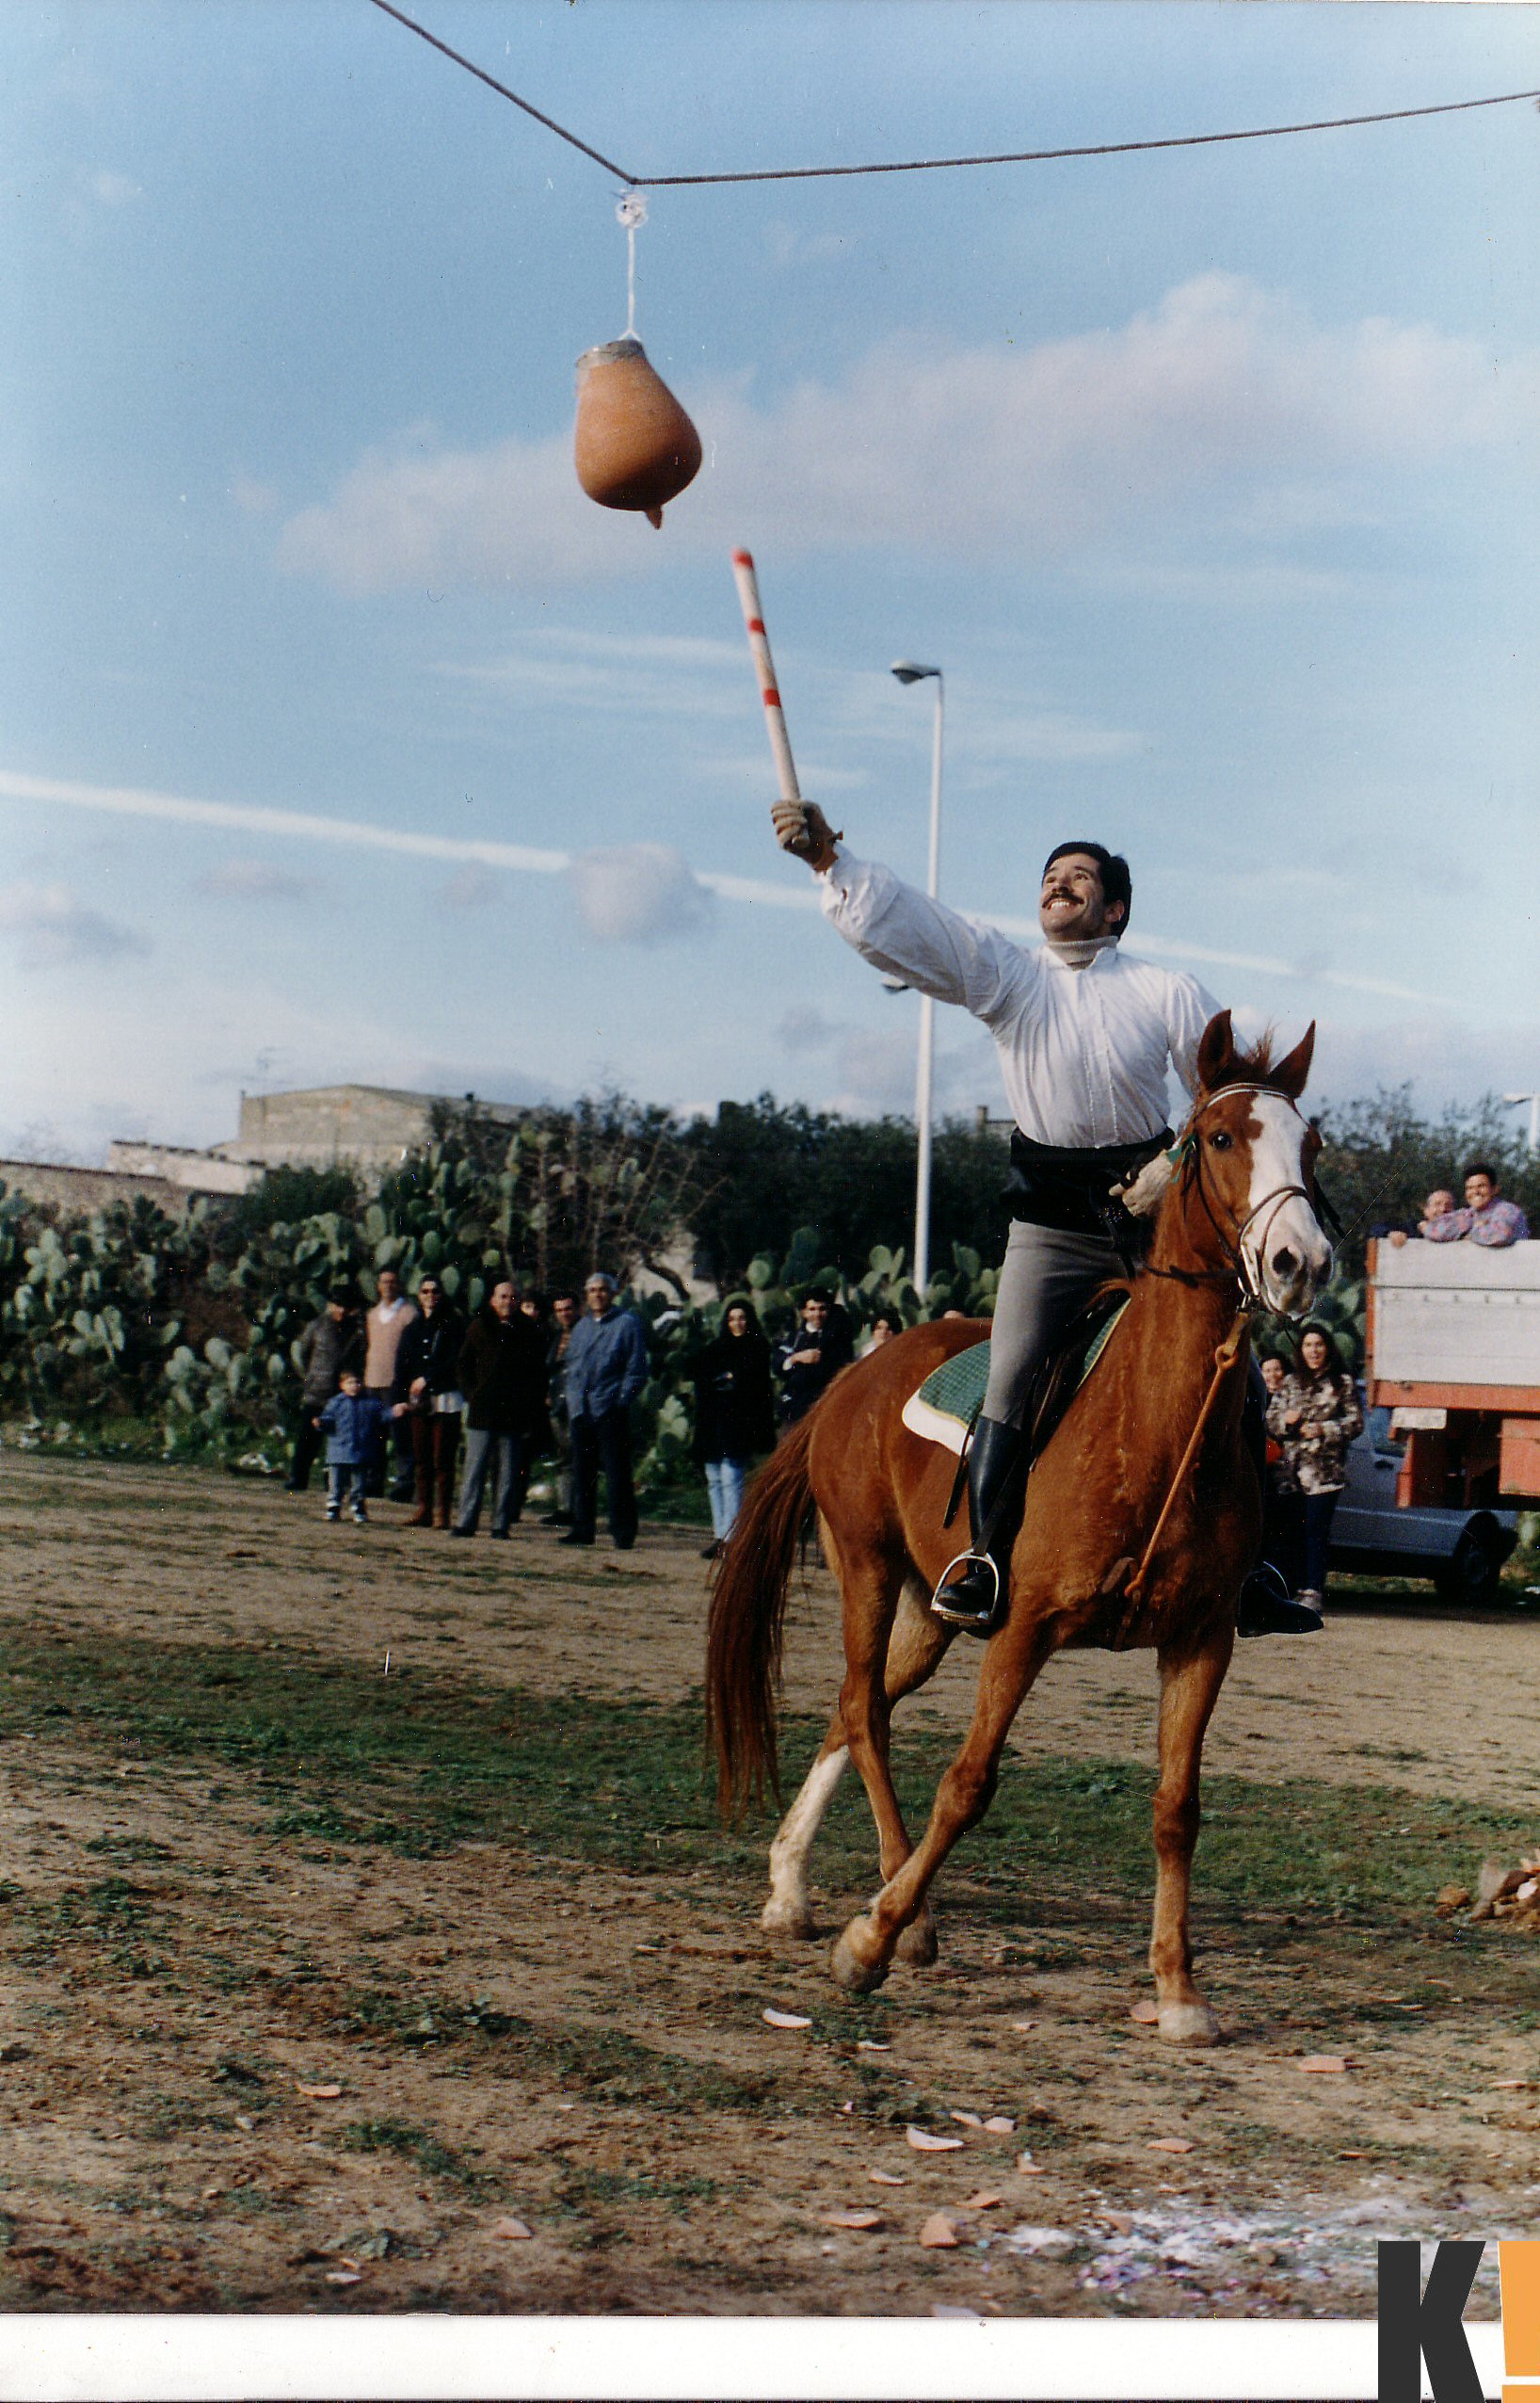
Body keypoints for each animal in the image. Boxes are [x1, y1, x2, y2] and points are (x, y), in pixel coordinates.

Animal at [705, 1012, 1333, 2046]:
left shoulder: (1201, 1639)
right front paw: (870, 1944)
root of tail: (850, 1378)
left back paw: (792, 1887)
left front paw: (1177, 1989)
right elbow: (968, 1783)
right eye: (1218, 1137)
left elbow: (1177, 1806)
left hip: (927, 1613)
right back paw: (899, 1914)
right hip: (870, 1568)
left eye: (1311, 1145)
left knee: (855, 1704)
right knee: (865, 1710)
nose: (1301, 1263)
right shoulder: (1024, 1627)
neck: (1149, 1428)